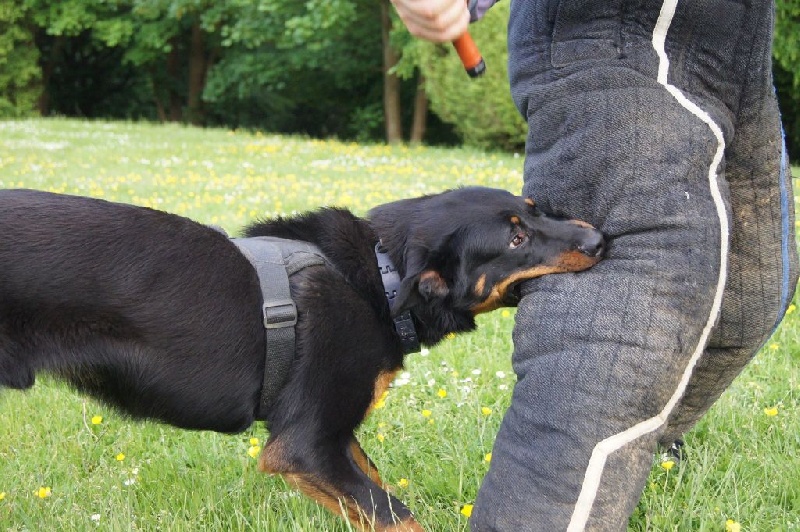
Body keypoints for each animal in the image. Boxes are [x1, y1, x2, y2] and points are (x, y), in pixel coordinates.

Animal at [0, 187, 600, 528]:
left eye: (535, 211)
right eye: (515, 241)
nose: (600, 239)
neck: (380, 277)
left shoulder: (334, 437)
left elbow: (376, 491)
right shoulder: (304, 445)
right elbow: (397, 517)